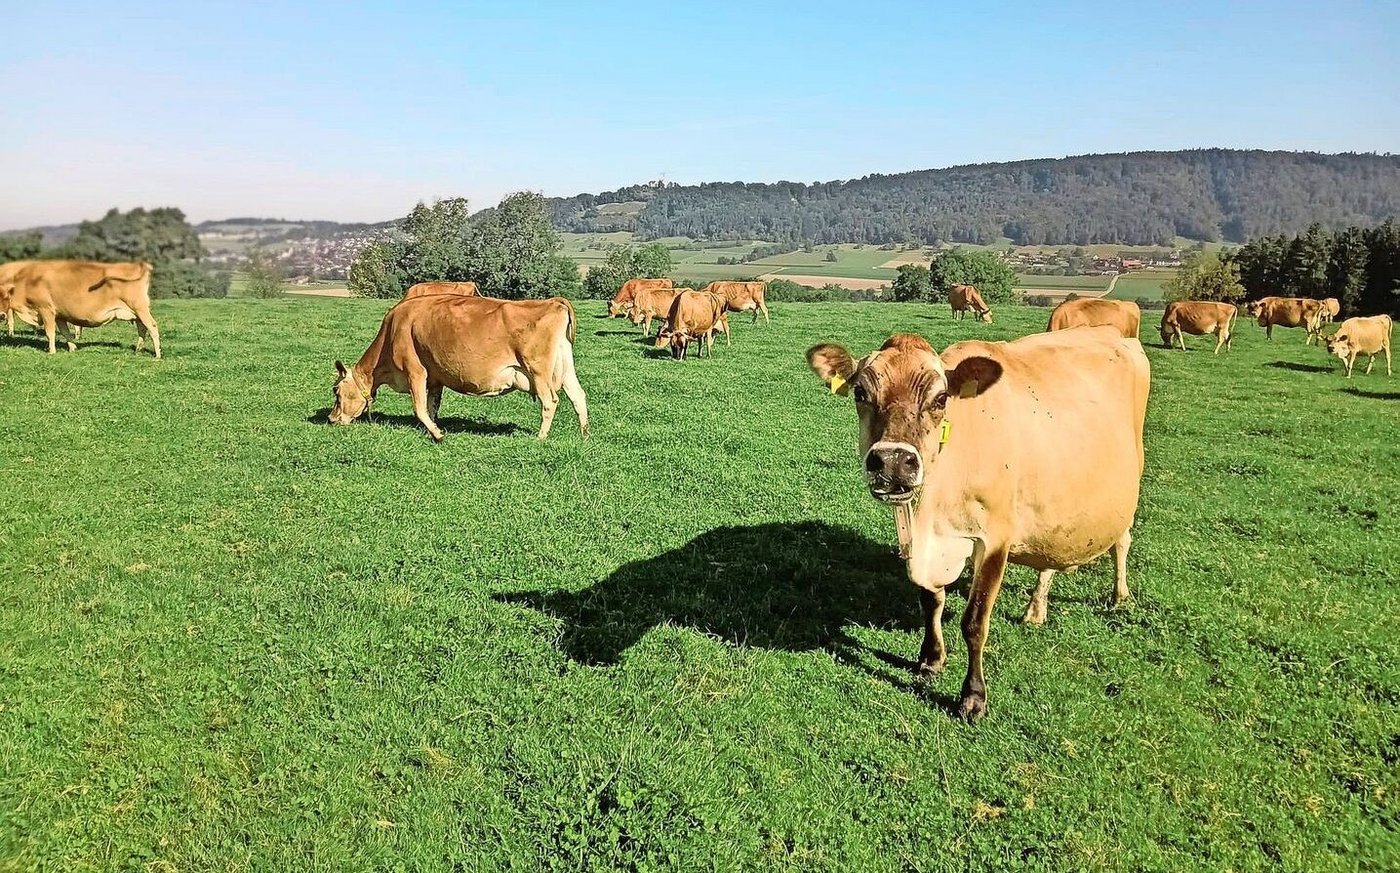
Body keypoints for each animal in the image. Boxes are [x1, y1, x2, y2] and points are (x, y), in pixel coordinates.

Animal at [0, 260, 159, 357]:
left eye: (5, 296)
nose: (2, 315)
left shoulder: (46, 309)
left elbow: (50, 333)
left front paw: (52, 351)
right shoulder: (59, 314)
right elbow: (65, 332)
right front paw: (72, 348)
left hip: (140, 308)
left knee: (152, 327)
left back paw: (157, 355)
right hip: (136, 312)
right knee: (142, 328)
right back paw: (138, 349)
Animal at [329, 295, 588, 441]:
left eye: (337, 391)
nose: (332, 419)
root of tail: (553, 301)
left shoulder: (416, 371)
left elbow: (419, 408)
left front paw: (437, 435)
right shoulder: (434, 377)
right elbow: (431, 407)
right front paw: (431, 429)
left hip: (538, 369)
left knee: (550, 401)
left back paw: (540, 438)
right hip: (565, 366)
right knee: (578, 395)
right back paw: (585, 435)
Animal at [806, 327, 1149, 722]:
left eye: (941, 398)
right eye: (860, 393)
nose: (893, 461)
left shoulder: (995, 539)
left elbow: (974, 621)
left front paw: (972, 697)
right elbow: (931, 600)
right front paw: (931, 659)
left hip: (1128, 489)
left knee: (1122, 541)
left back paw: (1120, 597)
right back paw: (1036, 609)